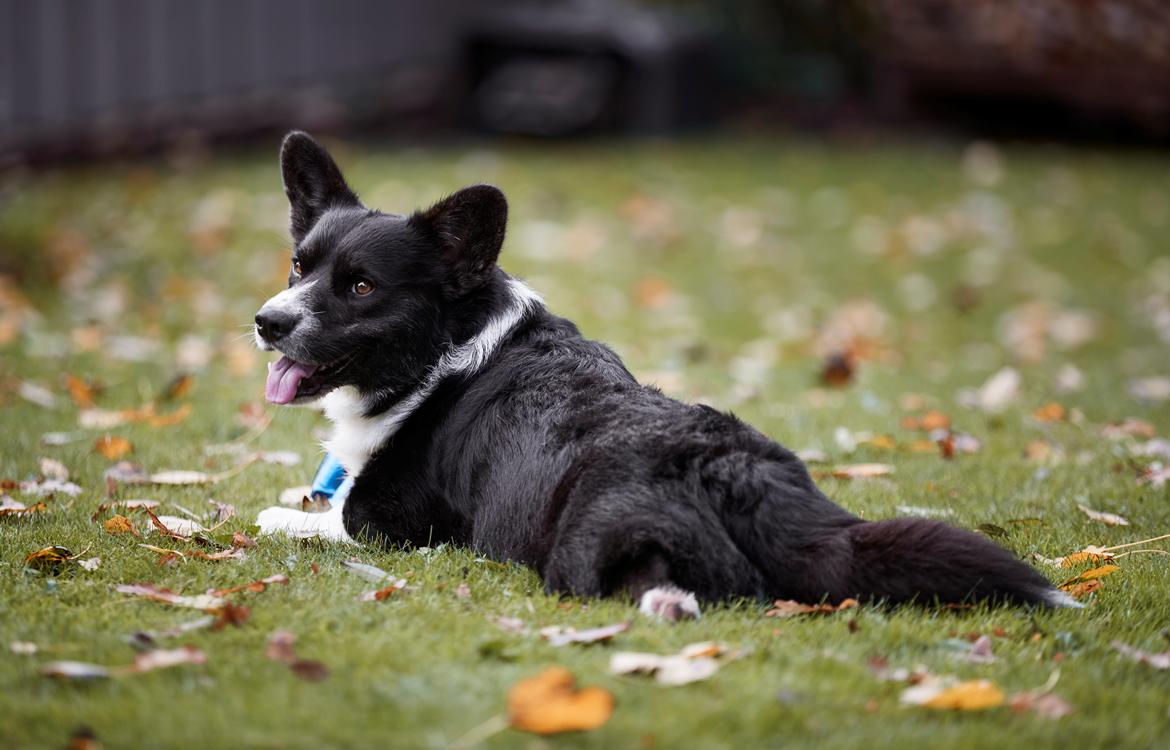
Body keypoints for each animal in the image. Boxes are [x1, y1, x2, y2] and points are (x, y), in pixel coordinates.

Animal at [256, 131, 1076, 617]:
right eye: (299, 266)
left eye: (361, 287)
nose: (266, 323)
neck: (443, 354)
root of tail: (732, 470)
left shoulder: (391, 524)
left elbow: (321, 517)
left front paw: (281, 516)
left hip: (582, 545)